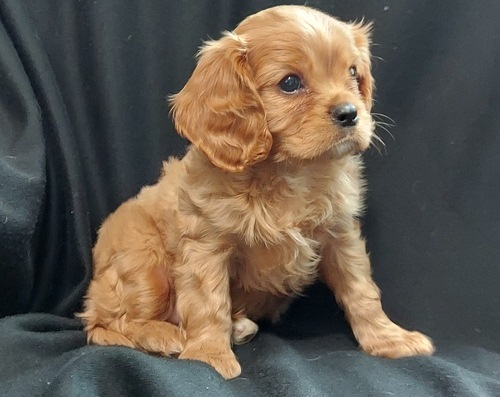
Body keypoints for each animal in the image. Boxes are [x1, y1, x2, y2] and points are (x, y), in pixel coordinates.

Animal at [78, 5, 434, 378]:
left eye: (353, 72)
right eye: (290, 83)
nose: (350, 113)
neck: (291, 171)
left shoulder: (341, 235)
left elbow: (361, 289)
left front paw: (387, 338)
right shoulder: (206, 245)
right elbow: (208, 302)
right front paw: (209, 356)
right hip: (146, 265)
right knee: (104, 324)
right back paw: (165, 336)